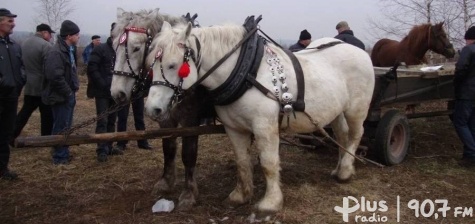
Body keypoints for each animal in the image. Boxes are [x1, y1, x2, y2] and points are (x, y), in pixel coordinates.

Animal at [145, 21, 376, 217]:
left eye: (173, 65)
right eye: (151, 65)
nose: (152, 108)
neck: (245, 72)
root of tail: (361, 52)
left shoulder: (265, 127)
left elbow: (268, 163)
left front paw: (270, 203)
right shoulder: (234, 128)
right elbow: (242, 161)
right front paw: (240, 195)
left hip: (356, 109)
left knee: (356, 135)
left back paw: (345, 171)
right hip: (336, 111)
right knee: (342, 135)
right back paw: (339, 167)